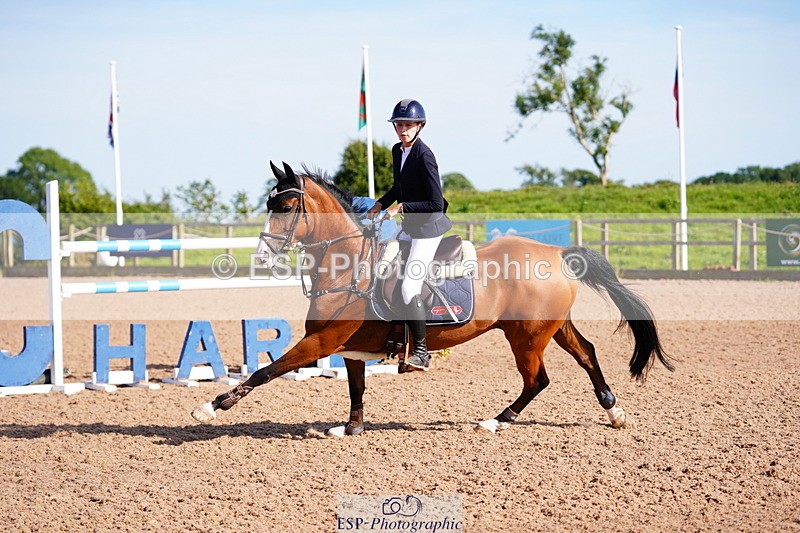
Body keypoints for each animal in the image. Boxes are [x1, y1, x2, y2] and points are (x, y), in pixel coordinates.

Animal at [191, 162, 673, 436]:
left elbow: (267, 370)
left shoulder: (322, 342)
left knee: (538, 380)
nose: (260, 255)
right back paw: (615, 412)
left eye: (287, 207)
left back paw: (496, 421)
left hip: (526, 337)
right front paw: (351, 428)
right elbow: (355, 388)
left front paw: (211, 407)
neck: (348, 263)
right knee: (587, 354)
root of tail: (557, 252)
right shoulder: (349, 348)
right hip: (549, 326)